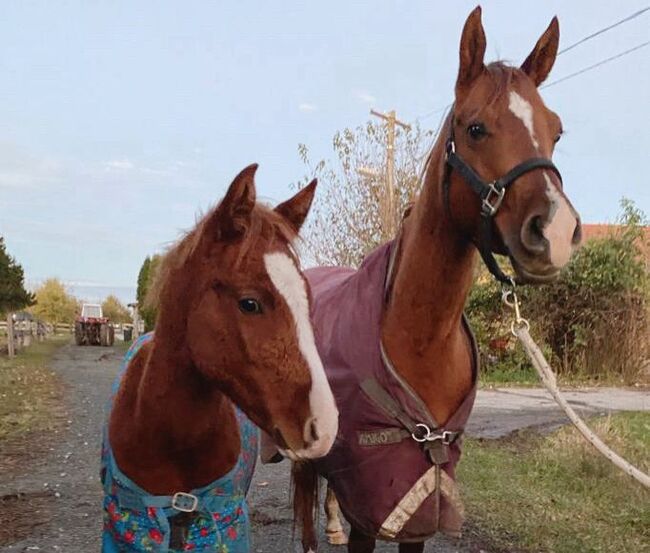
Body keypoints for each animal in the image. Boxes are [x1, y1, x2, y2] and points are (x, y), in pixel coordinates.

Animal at [292, 7, 580, 552]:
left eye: (555, 132)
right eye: (475, 128)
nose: (554, 231)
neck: (419, 339)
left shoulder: (422, 495)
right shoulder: (373, 504)